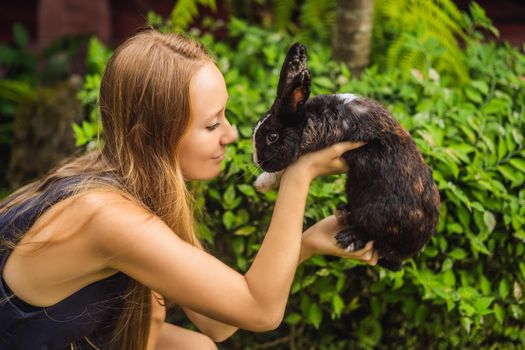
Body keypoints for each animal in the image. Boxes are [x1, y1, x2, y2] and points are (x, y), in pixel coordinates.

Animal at [252, 41, 440, 270]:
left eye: (272, 136)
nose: (257, 161)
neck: (310, 119)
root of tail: (412, 250)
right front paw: (263, 183)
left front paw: (262, 182)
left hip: (377, 215)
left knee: (376, 240)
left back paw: (348, 238)